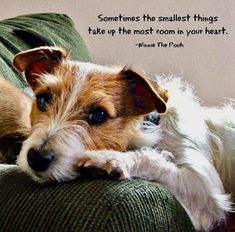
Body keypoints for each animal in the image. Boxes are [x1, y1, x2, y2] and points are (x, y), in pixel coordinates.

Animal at [0, 46, 235, 231]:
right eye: (42, 99)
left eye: (99, 114)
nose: (37, 158)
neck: (151, 128)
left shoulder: (206, 191)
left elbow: (154, 160)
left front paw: (109, 160)